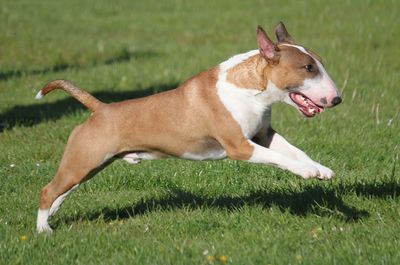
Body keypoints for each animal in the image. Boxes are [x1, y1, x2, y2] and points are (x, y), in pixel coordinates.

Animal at [35, 22, 340, 231]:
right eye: (308, 68)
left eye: (319, 63)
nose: (336, 99)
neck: (251, 88)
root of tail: (101, 109)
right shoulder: (240, 146)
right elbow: (280, 158)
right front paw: (306, 172)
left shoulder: (264, 135)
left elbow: (294, 150)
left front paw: (320, 169)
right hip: (84, 159)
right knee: (48, 190)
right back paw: (43, 230)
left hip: (90, 164)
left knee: (63, 190)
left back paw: (52, 216)